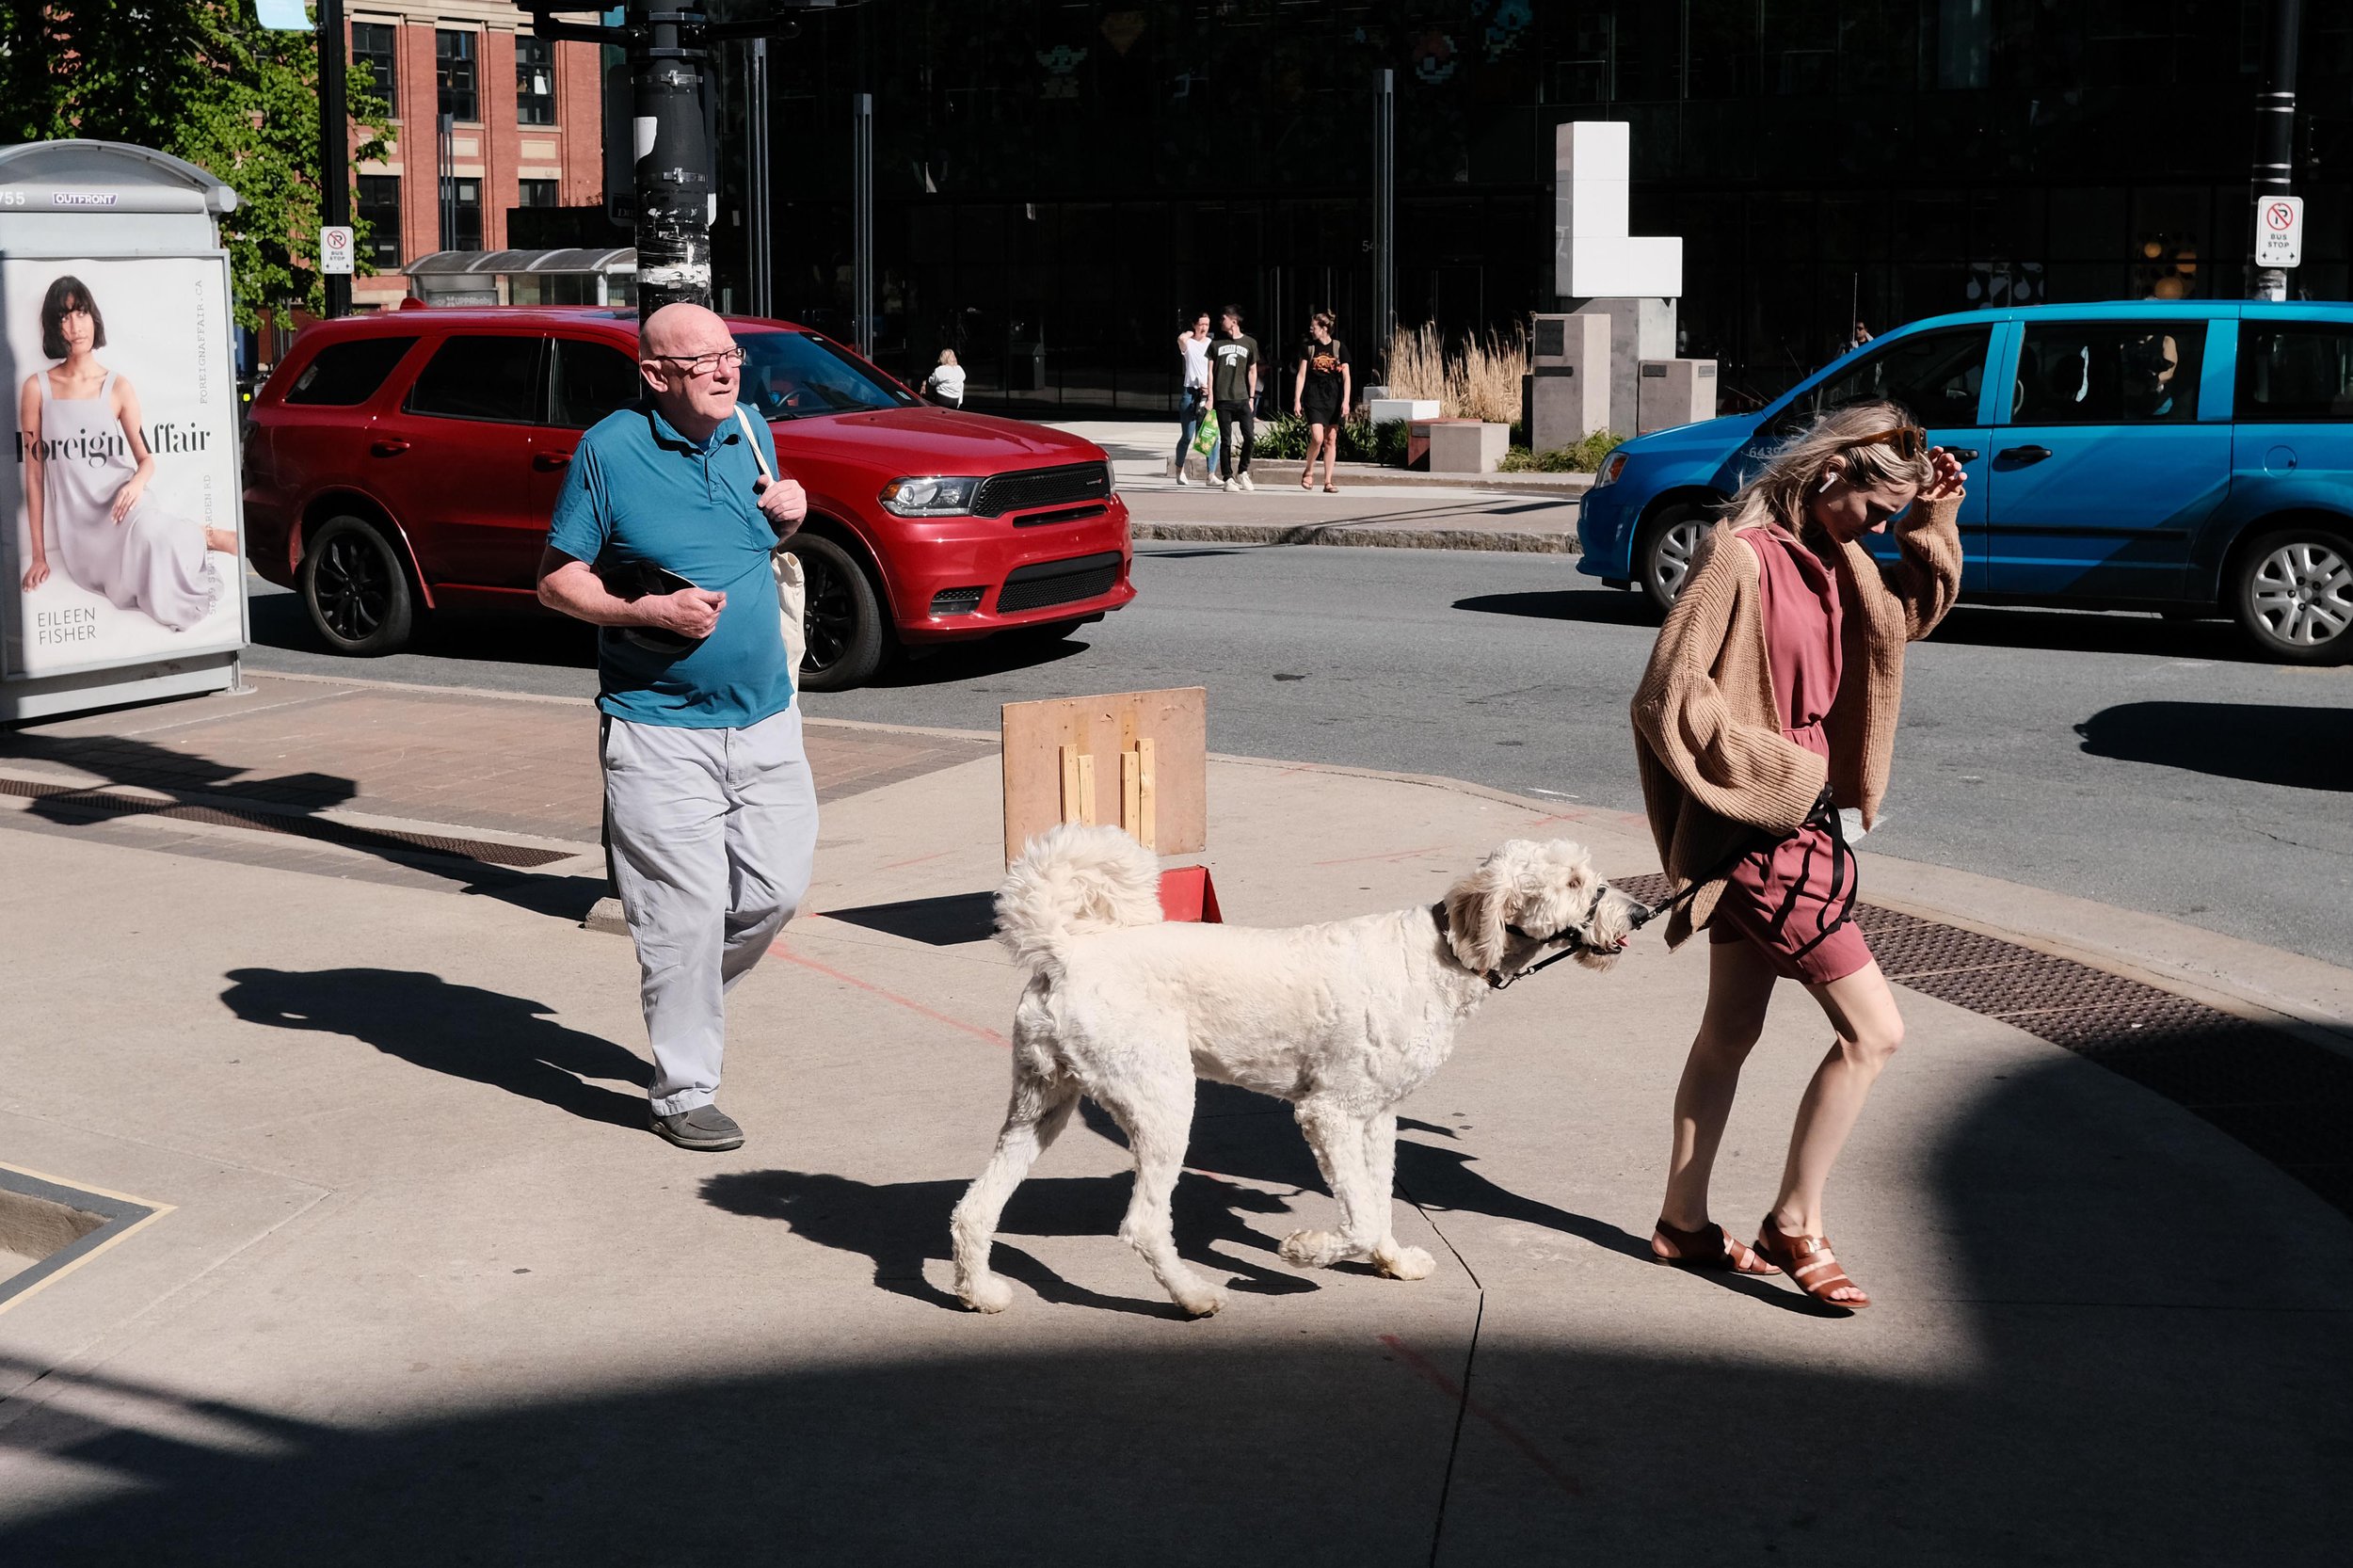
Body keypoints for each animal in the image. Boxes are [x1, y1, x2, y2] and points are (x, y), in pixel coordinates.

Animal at [946, 824, 1647, 1308]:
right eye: (1574, 882)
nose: (1640, 913)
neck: (1444, 954)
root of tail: (1066, 951)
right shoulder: (1327, 1112)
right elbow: (1360, 1217)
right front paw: (1305, 1252)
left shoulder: (1377, 1117)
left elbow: (1378, 1203)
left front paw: (1392, 1261)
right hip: (1161, 1100)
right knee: (1143, 1224)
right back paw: (1193, 1297)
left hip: (1040, 1103)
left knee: (974, 1209)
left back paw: (981, 1294)